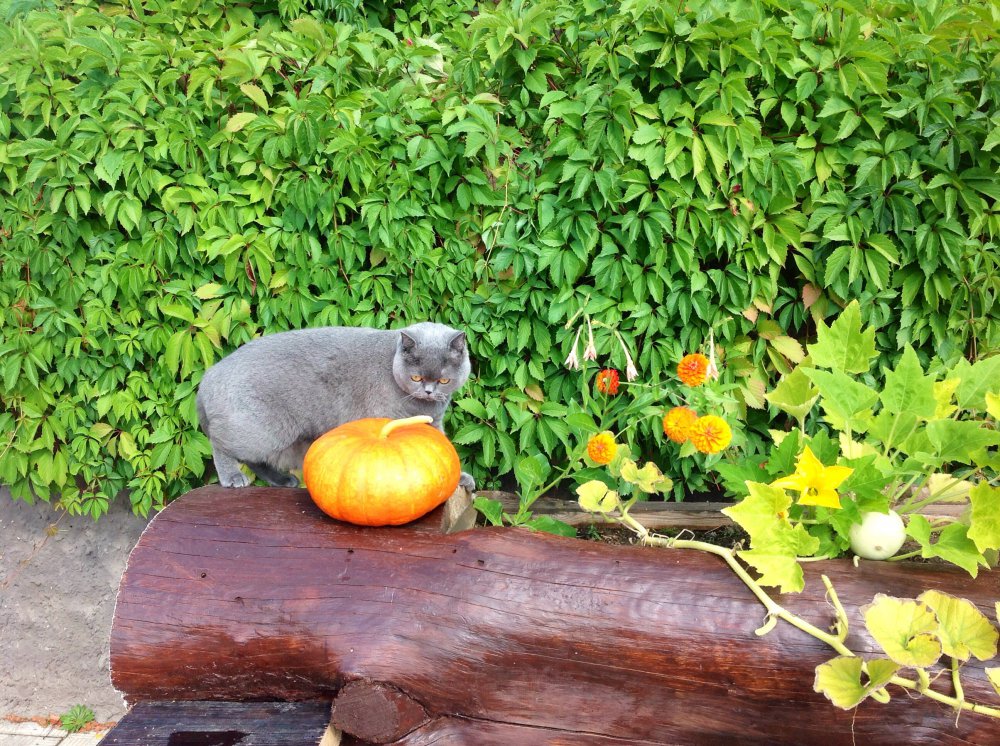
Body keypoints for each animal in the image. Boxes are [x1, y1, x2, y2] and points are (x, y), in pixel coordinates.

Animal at [196, 322, 475, 491]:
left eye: (444, 380)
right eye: (416, 377)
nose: (429, 391)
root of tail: (209, 375)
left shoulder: (434, 423)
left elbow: (442, 449)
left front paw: (460, 479)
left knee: (256, 459)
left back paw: (284, 480)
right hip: (262, 429)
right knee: (221, 444)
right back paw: (233, 478)